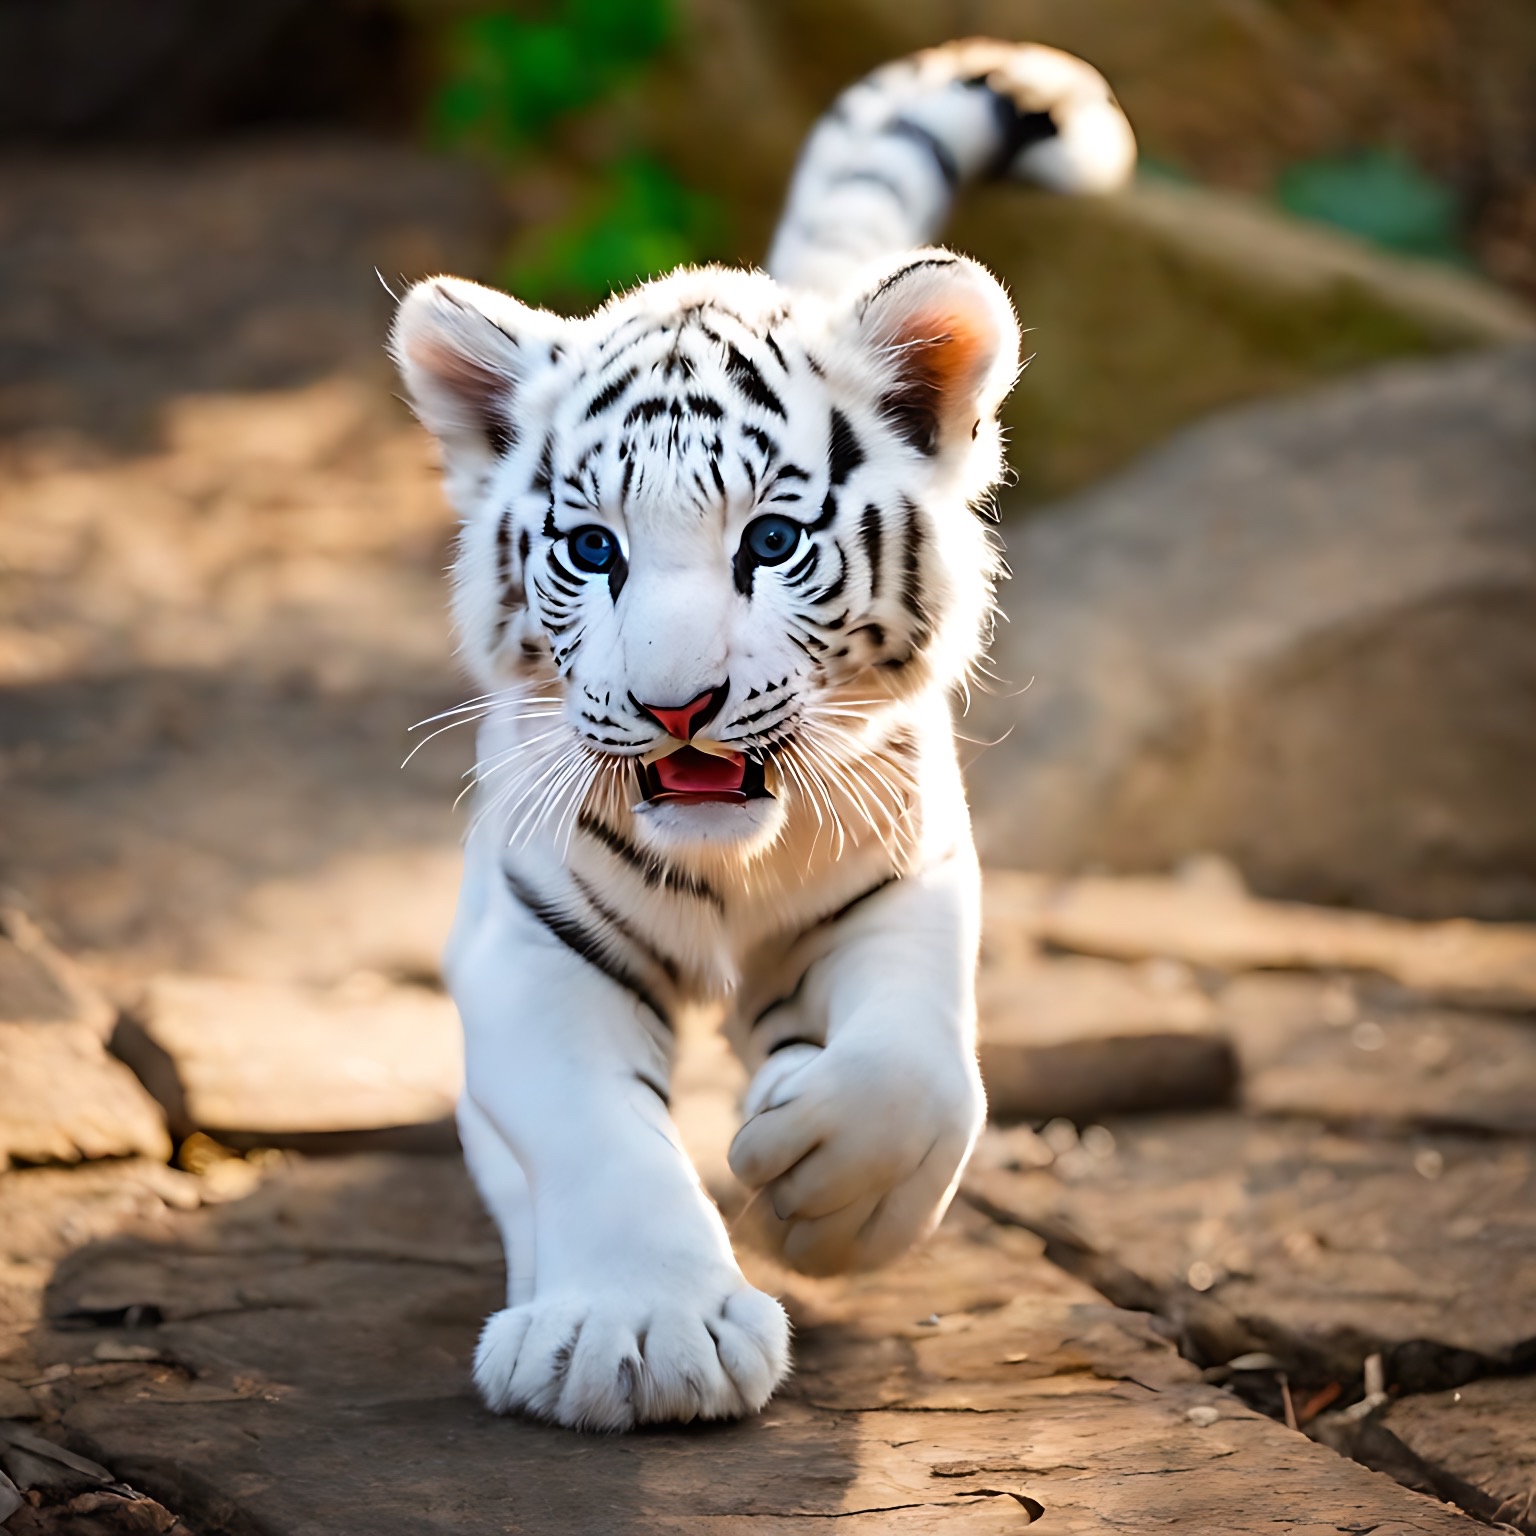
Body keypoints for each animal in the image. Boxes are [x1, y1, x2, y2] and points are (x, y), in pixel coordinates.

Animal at [391, 38, 1134, 1432]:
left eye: (772, 542)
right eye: (594, 550)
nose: (676, 705)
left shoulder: (907, 874)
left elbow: (916, 1069)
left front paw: (819, 1183)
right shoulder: (531, 935)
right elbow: (594, 1131)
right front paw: (638, 1332)